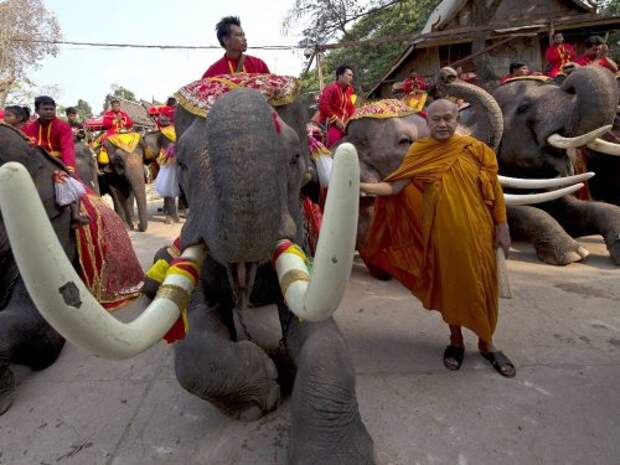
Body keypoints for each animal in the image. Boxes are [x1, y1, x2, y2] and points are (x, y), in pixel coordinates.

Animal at [1, 88, 372, 464]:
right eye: (182, 165)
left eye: (296, 159)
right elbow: (193, 344)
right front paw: (260, 393)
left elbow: (323, 341)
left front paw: (332, 453)